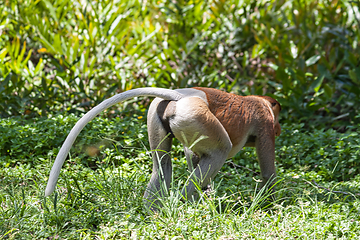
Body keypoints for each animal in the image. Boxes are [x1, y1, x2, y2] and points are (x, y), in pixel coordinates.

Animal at [45, 87, 282, 209]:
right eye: (277, 116)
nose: (279, 128)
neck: (258, 101)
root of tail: (182, 96)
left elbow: (193, 156)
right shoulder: (265, 123)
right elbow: (268, 172)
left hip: (159, 115)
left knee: (162, 165)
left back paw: (152, 212)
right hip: (197, 115)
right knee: (221, 150)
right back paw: (183, 206)